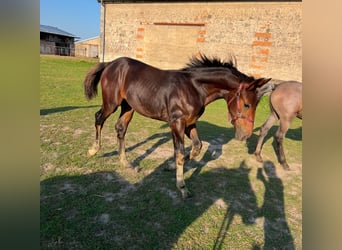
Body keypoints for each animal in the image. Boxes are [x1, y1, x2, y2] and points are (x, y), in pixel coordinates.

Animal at [84, 55, 272, 198]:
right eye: (247, 104)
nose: (245, 135)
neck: (194, 88)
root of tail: (110, 63)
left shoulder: (190, 124)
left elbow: (196, 147)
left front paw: (171, 166)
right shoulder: (176, 123)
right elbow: (180, 152)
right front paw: (182, 187)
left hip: (128, 107)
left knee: (121, 128)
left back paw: (125, 162)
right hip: (111, 103)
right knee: (98, 118)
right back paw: (93, 150)